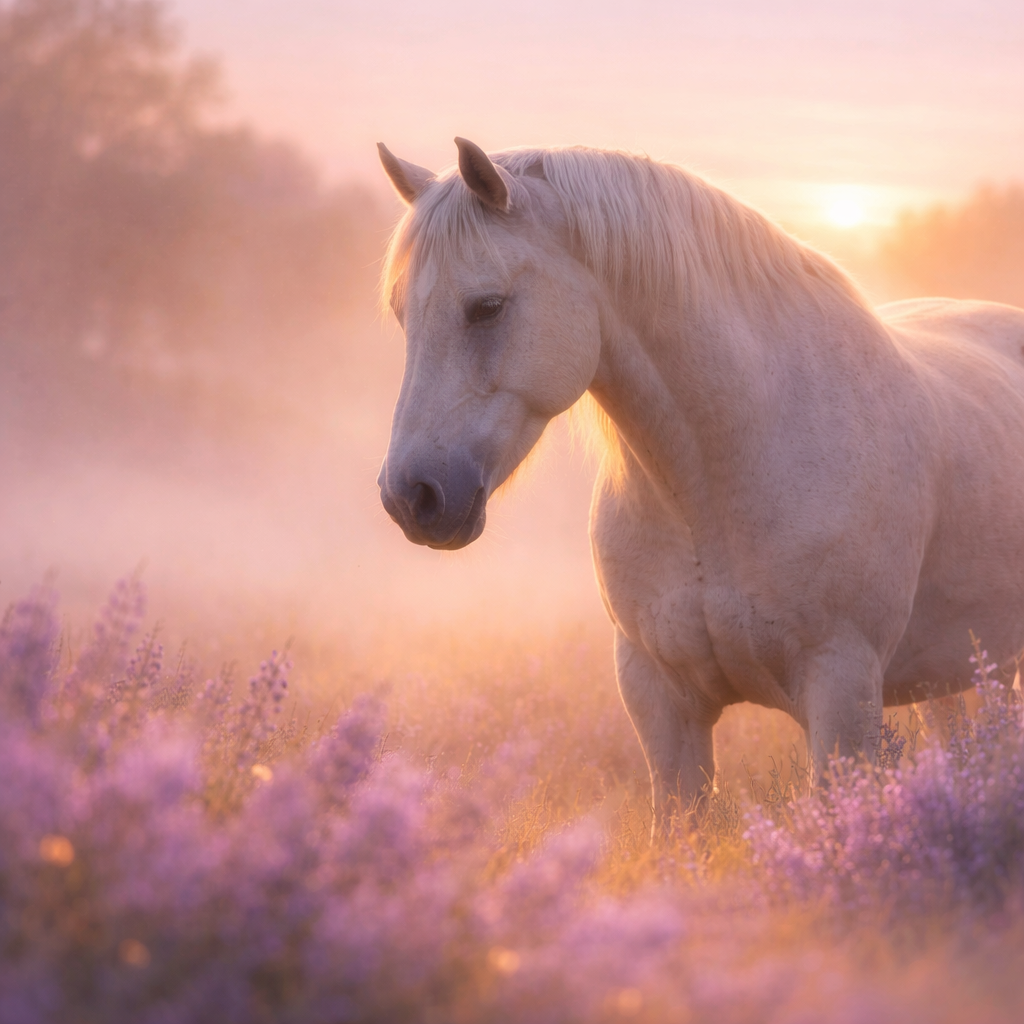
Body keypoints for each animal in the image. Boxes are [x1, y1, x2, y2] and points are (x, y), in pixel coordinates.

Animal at [375, 137, 1024, 823]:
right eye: (401, 314)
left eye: (487, 307)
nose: (411, 496)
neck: (713, 486)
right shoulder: (658, 697)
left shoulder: (841, 692)